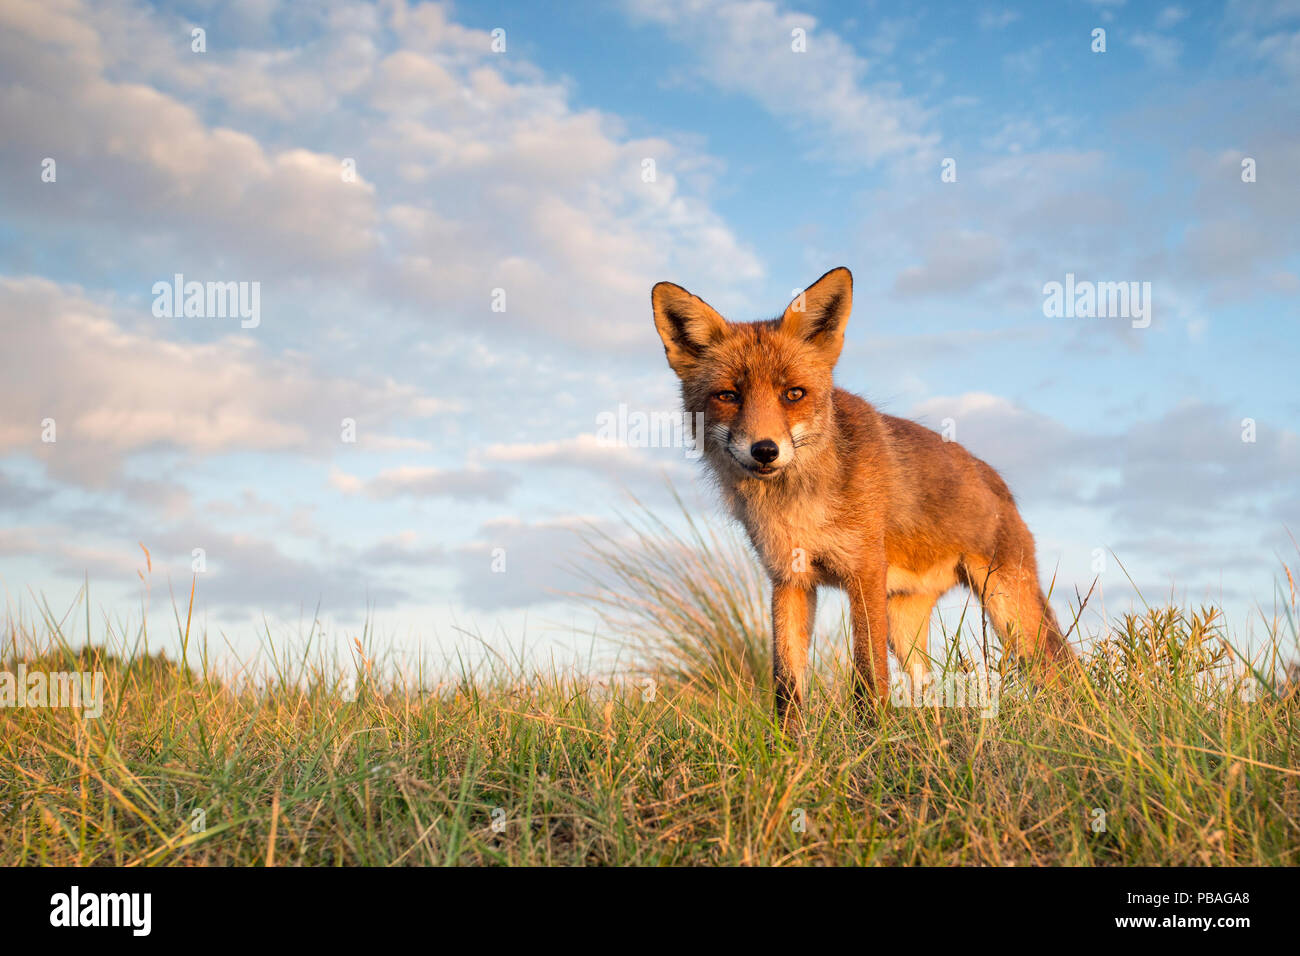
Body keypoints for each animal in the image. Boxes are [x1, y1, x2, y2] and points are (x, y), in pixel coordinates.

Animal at [651, 266, 1075, 728]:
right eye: (728, 395)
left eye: (793, 394)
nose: (764, 450)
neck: (800, 506)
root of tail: (996, 479)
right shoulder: (789, 579)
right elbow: (786, 682)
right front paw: (791, 743)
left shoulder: (864, 573)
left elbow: (868, 675)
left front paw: (871, 737)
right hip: (905, 628)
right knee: (929, 688)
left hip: (1009, 610)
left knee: (1062, 671)